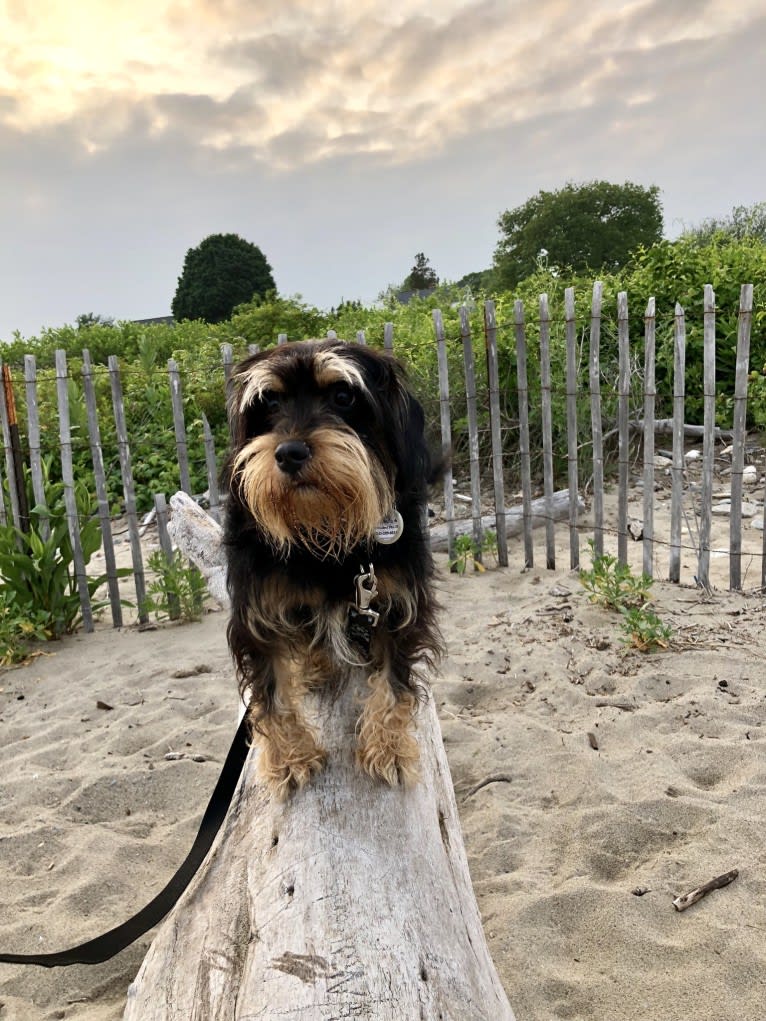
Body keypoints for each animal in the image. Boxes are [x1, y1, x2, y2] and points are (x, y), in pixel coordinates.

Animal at [218, 338, 443, 800]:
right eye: (269, 401)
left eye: (343, 395)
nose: (289, 452)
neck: (324, 535)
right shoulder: (257, 616)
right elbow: (271, 693)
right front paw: (291, 758)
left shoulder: (398, 603)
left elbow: (393, 683)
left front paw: (388, 748)